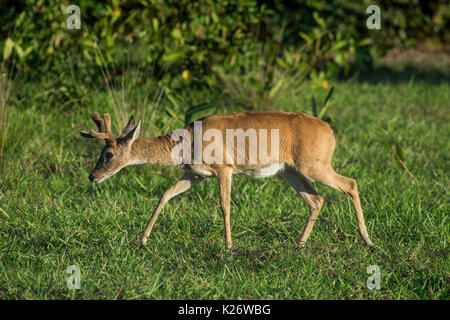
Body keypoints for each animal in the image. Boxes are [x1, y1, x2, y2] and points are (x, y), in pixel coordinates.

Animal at [80, 111, 372, 249]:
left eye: (108, 154)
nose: (92, 176)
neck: (187, 142)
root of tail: (330, 132)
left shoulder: (224, 168)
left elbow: (224, 205)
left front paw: (229, 246)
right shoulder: (194, 174)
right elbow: (166, 193)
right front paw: (142, 239)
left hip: (315, 165)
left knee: (351, 184)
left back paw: (367, 240)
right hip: (292, 171)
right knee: (316, 199)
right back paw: (299, 244)